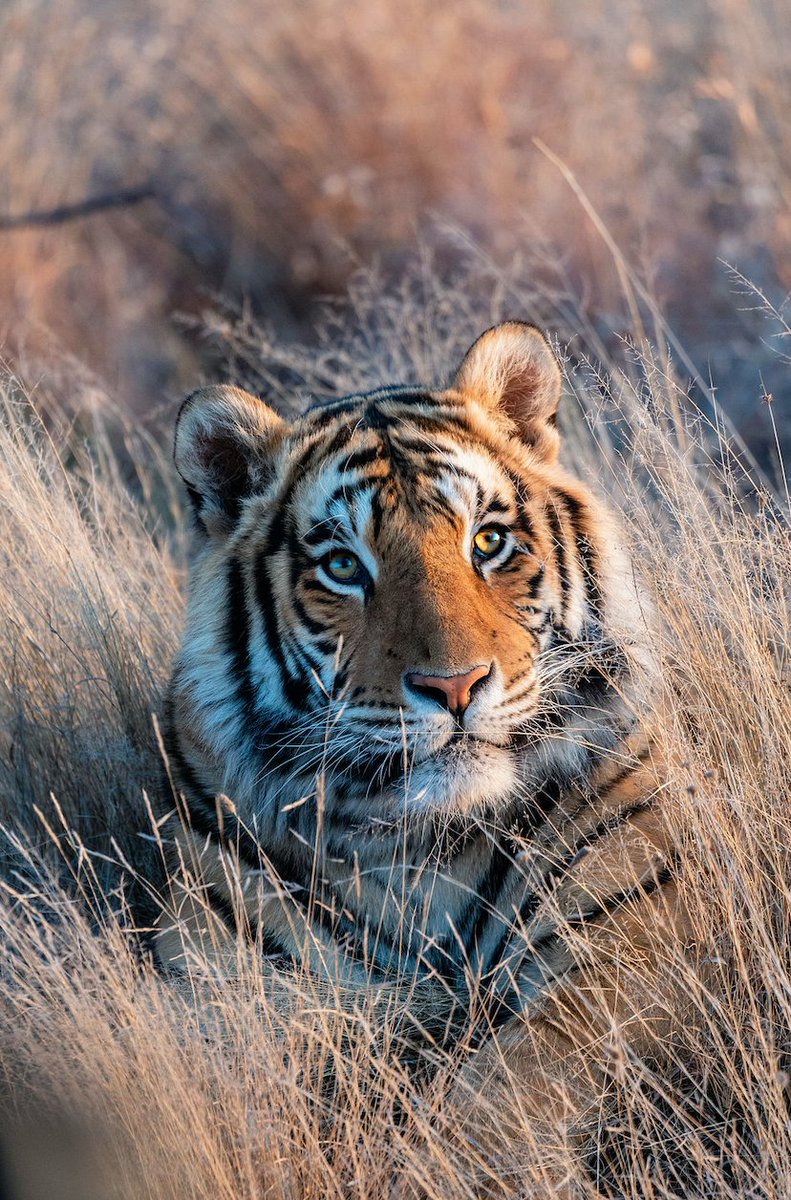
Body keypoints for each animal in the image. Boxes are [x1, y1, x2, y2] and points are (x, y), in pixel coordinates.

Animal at [155, 321, 693, 1191]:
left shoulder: (626, 951)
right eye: (342, 565)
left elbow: (502, 1099)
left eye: (488, 541)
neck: (428, 844)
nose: (455, 684)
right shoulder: (225, 993)